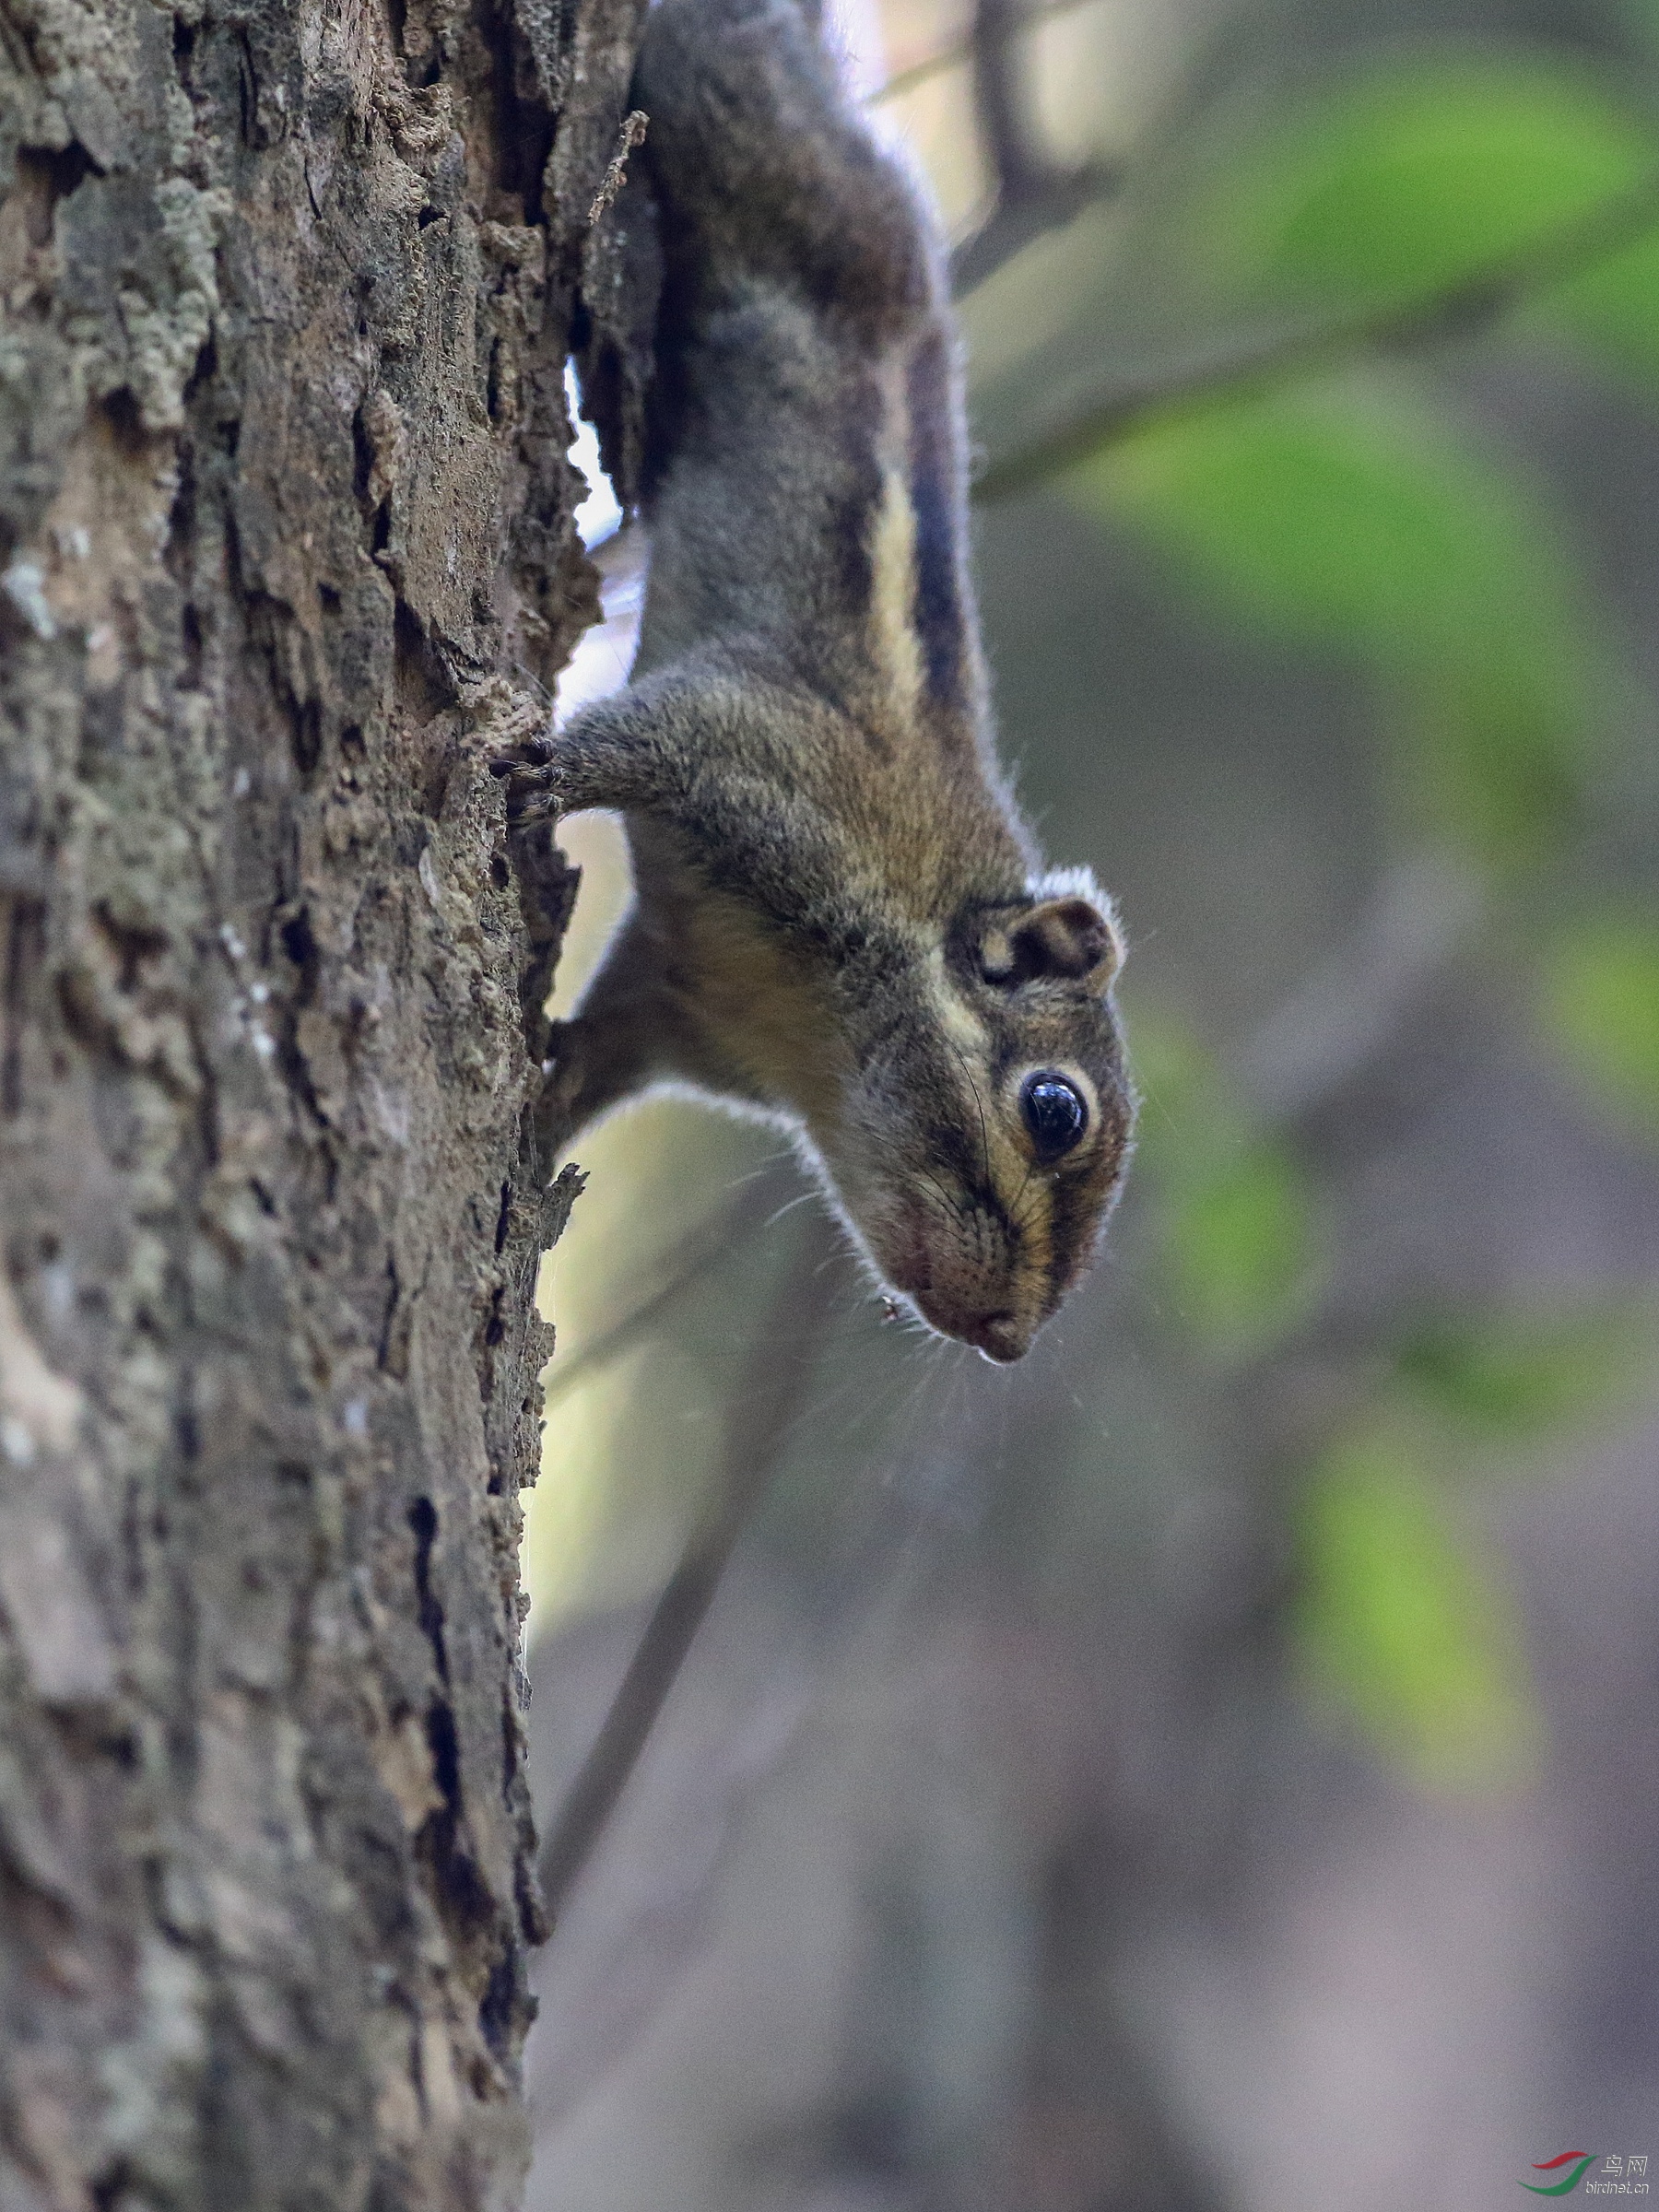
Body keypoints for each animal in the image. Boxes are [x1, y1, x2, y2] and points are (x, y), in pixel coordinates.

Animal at [500, 0, 1141, 1362]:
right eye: (1055, 1109)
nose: (1010, 1337)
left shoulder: (670, 1000)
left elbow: (594, 1061)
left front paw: (534, 1141)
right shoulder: (749, 757)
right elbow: (636, 736)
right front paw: (534, 770)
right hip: (762, 153)